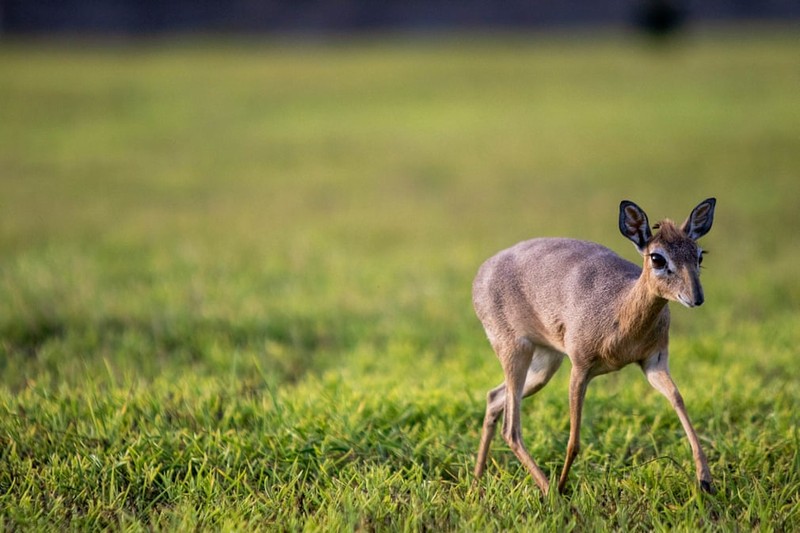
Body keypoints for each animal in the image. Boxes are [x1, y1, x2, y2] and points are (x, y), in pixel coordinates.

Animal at [472, 197, 716, 492]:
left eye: (699, 254)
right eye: (657, 257)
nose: (697, 297)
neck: (620, 310)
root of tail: (482, 271)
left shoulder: (654, 363)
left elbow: (678, 399)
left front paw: (705, 480)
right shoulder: (580, 367)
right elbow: (574, 440)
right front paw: (563, 484)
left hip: (544, 364)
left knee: (494, 398)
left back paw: (476, 480)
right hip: (515, 351)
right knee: (511, 428)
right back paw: (550, 491)